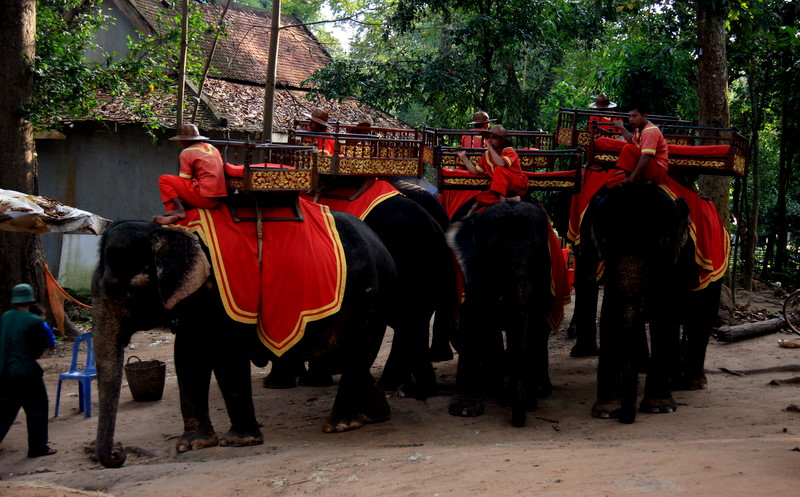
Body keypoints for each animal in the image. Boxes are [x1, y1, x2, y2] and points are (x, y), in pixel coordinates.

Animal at [92, 210, 398, 468]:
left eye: (126, 291)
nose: (119, 453)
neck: (175, 230)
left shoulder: (227, 295)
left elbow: (227, 356)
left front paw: (239, 441)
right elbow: (188, 355)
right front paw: (193, 445)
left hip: (371, 301)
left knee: (356, 355)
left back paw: (339, 426)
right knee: (352, 358)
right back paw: (374, 415)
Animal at [444, 202, 564, 426]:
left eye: (540, 258)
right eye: (494, 259)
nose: (518, 421)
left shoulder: (545, 280)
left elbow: (532, 324)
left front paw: (523, 401)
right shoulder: (468, 274)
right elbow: (471, 321)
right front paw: (465, 409)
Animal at [588, 184, 724, 424]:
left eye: (661, 244)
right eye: (604, 242)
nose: (625, 417)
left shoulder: (677, 259)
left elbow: (663, 312)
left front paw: (658, 408)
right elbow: (610, 312)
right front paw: (604, 410)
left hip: (714, 274)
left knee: (702, 316)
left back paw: (693, 384)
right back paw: (675, 380)